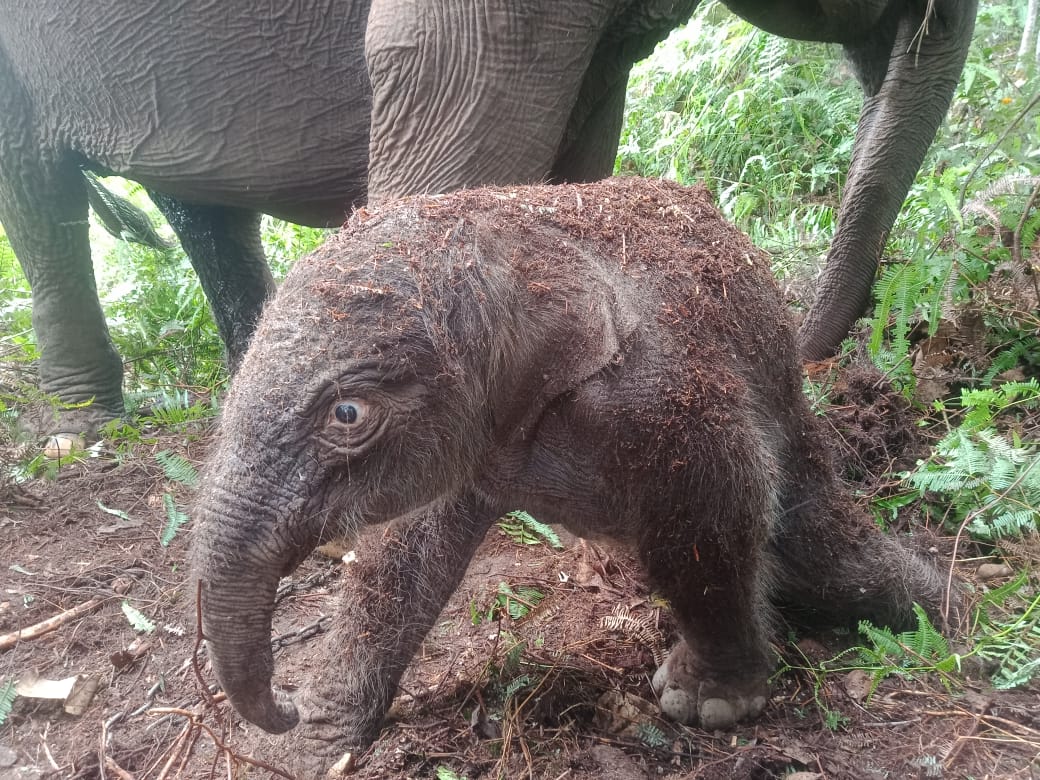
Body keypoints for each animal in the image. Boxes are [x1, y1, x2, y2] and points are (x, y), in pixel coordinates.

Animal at [191, 176, 952, 777]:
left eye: (347, 413)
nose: (282, 709)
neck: (503, 228)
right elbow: (402, 556)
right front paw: (310, 751)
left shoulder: (664, 395)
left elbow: (717, 507)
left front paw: (704, 702)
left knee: (835, 561)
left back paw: (950, 615)